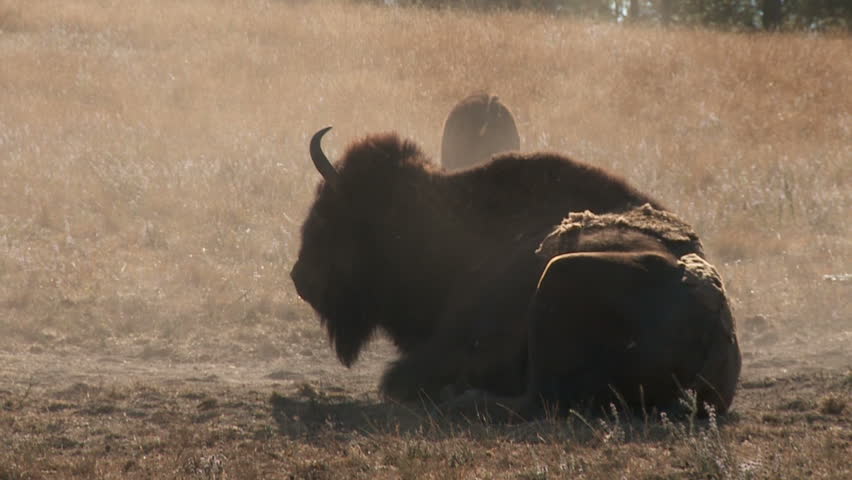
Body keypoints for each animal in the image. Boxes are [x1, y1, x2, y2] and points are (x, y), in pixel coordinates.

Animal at [290, 126, 740, 418]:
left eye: (331, 214)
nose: (301, 278)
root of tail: (713, 323)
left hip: (559, 277)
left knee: (535, 400)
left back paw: (462, 399)